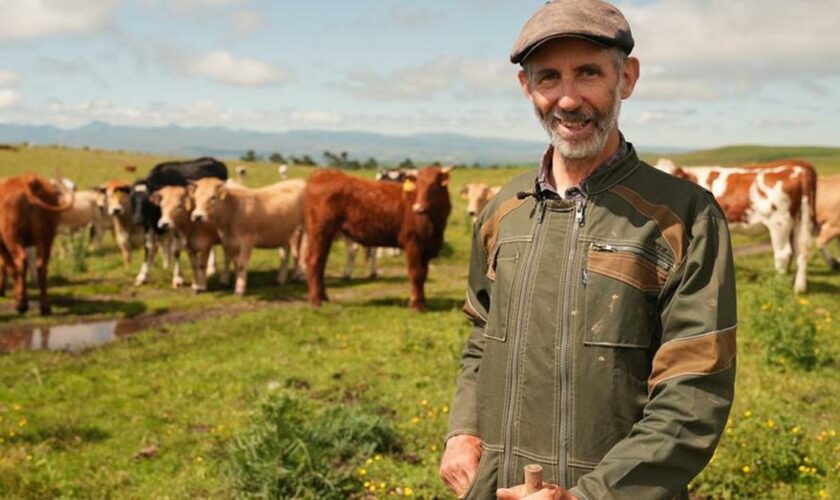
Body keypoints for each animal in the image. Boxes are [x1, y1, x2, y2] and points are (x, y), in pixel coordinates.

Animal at [0, 174, 74, 314]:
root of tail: (27, 181)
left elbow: (6, 266)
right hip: (46, 238)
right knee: (41, 265)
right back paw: (45, 307)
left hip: (13, 237)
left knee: (20, 263)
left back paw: (21, 304)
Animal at [304, 166, 452, 310]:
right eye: (418, 185)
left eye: (433, 186)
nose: (418, 208)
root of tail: (323, 173)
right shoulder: (413, 243)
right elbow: (416, 274)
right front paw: (416, 305)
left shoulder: (426, 248)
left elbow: (423, 274)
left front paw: (422, 303)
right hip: (320, 231)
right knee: (315, 261)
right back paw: (316, 300)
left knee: (321, 263)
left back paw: (324, 297)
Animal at [652, 158, 816, 292]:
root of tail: (799, 169)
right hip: (799, 221)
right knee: (800, 250)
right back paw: (799, 287)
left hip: (779, 223)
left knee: (784, 253)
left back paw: (779, 283)